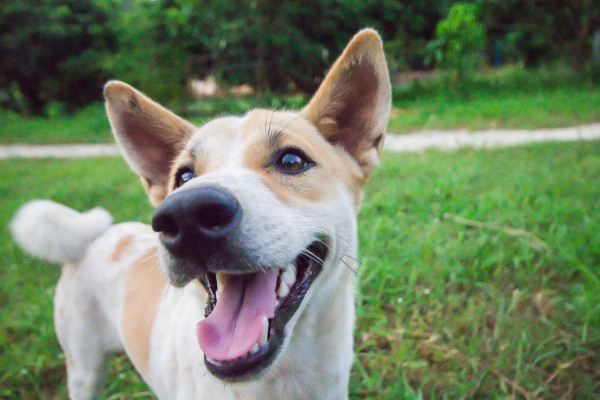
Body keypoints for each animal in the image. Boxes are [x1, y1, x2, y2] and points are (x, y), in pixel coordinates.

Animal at [10, 28, 394, 400]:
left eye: (291, 160)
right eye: (183, 177)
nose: (186, 214)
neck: (276, 382)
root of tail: (93, 236)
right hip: (84, 368)